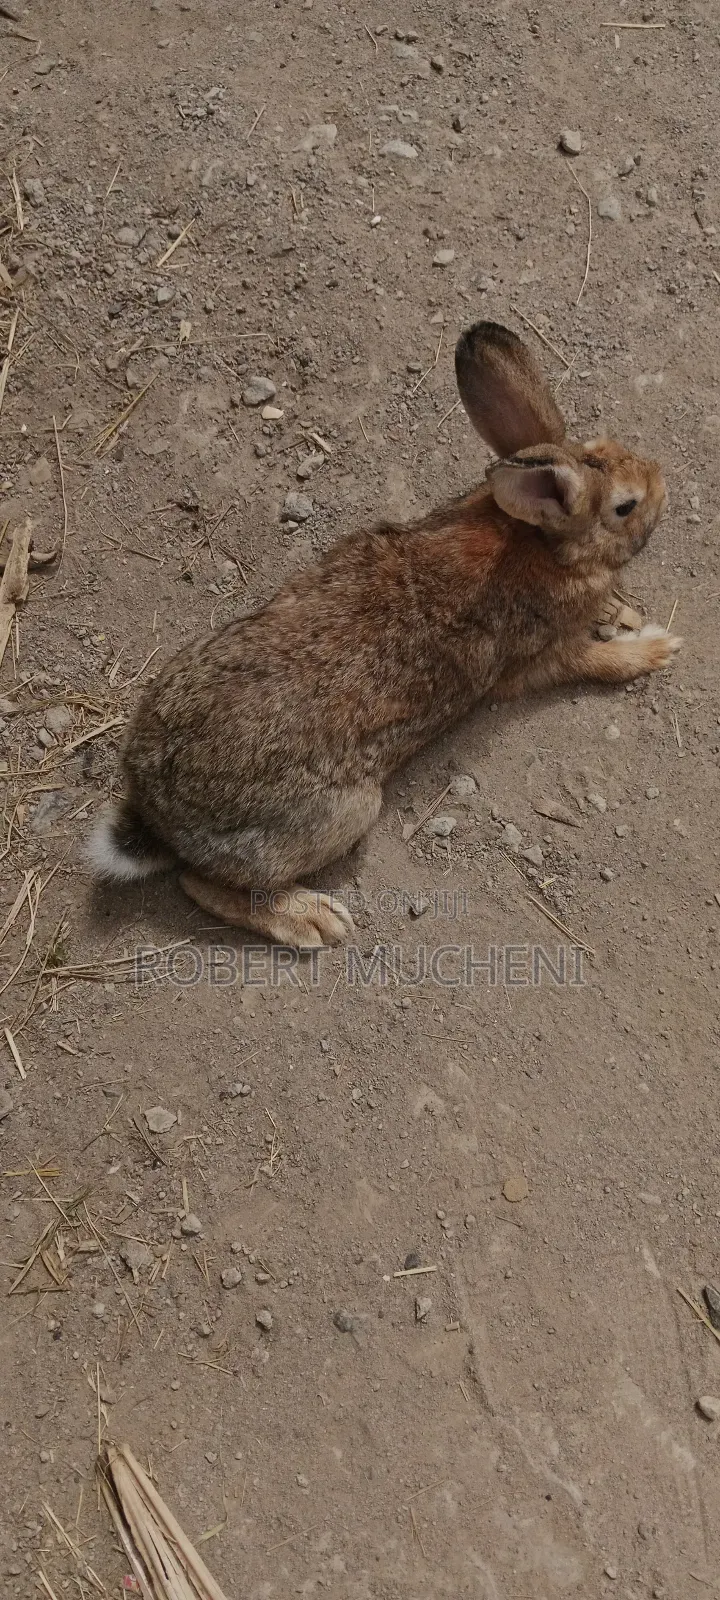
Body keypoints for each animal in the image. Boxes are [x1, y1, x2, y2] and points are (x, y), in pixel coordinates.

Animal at [88, 320, 680, 948]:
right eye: (626, 506)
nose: (662, 480)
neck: (544, 541)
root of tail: (159, 813)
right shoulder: (540, 658)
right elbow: (594, 661)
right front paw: (657, 648)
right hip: (342, 814)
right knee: (202, 884)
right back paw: (313, 919)